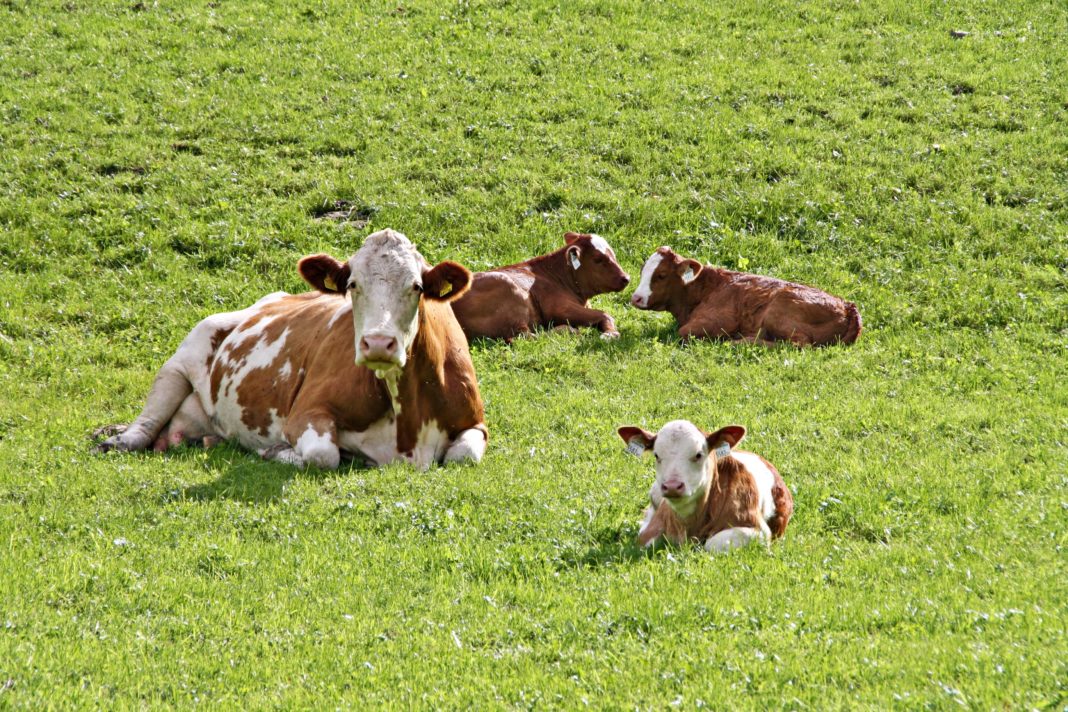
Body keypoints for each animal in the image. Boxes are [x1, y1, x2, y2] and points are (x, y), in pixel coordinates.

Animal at [94, 229, 488, 470]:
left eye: (417, 286)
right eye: (353, 285)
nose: (378, 343)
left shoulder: (476, 422)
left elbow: (464, 454)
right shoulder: (306, 411)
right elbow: (323, 455)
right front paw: (280, 451)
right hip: (185, 354)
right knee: (146, 422)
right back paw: (117, 440)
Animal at [450, 232, 630, 341]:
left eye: (613, 254)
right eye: (598, 259)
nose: (626, 278)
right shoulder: (558, 307)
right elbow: (605, 313)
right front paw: (610, 333)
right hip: (509, 291)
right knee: (524, 337)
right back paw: (568, 330)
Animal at [617, 420, 793, 553]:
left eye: (698, 455)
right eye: (656, 455)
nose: (672, 486)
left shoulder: (758, 530)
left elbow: (710, 544)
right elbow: (644, 540)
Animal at [630, 246, 862, 346]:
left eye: (661, 275)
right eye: (642, 271)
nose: (636, 298)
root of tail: (847, 306)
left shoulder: (721, 320)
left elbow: (684, 332)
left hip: (777, 311)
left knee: (799, 344)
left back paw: (741, 342)